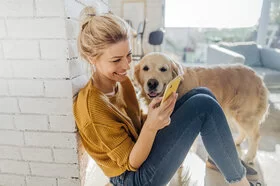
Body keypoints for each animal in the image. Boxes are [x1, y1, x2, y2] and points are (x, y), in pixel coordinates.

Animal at [135, 52, 270, 163]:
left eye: (163, 69)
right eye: (145, 68)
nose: (152, 83)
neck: (178, 86)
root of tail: (258, 77)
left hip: (244, 115)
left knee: (255, 136)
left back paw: (249, 157)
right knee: (243, 132)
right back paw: (235, 142)